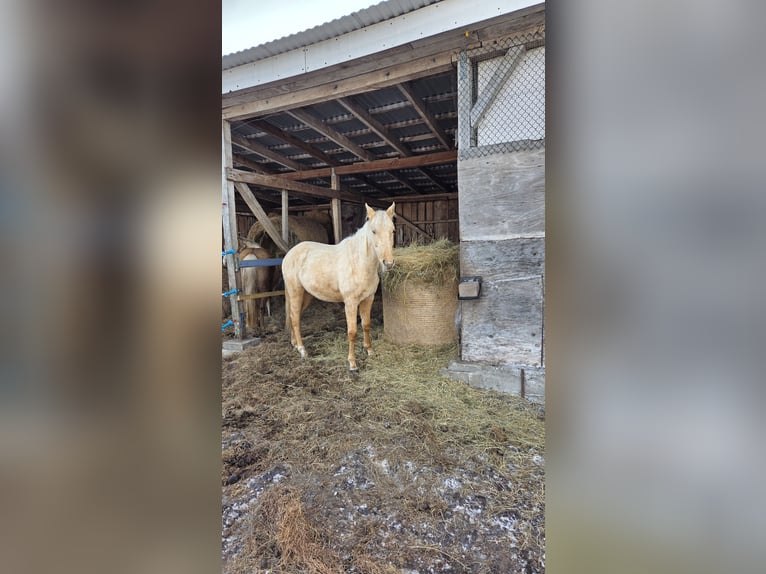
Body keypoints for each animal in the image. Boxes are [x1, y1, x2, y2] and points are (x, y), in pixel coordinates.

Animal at [281, 203, 396, 373]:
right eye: (374, 231)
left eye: (392, 230)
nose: (388, 263)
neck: (358, 263)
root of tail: (290, 254)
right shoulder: (351, 302)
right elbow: (352, 332)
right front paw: (352, 364)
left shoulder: (368, 299)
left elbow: (366, 325)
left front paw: (369, 350)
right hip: (295, 292)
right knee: (295, 318)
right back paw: (302, 350)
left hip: (306, 295)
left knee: (293, 316)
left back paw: (295, 344)